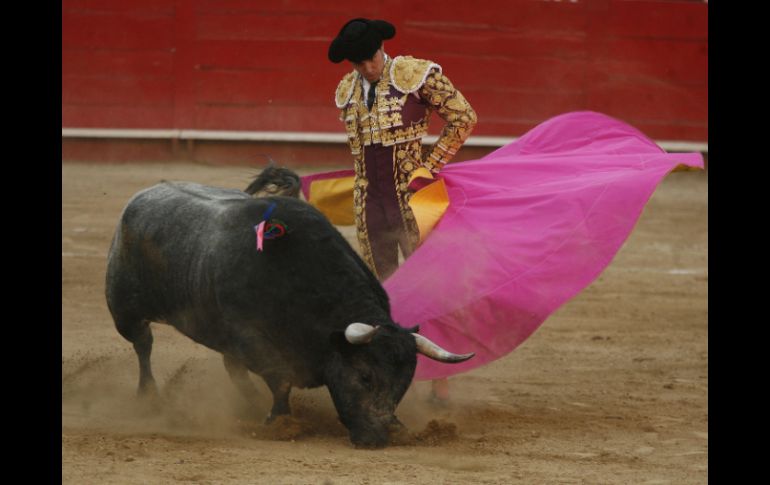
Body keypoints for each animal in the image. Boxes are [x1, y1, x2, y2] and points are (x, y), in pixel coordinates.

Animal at [105, 172, 472, 448]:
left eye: (405, 382)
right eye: (365, 376)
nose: (377, 438)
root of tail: (146, 193)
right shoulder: (252, 339)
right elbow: (280, 380)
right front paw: (279, 422)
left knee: (229, 367)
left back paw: (248, 404)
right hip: (125, 310)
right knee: (143, 346)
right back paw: (149, 397)